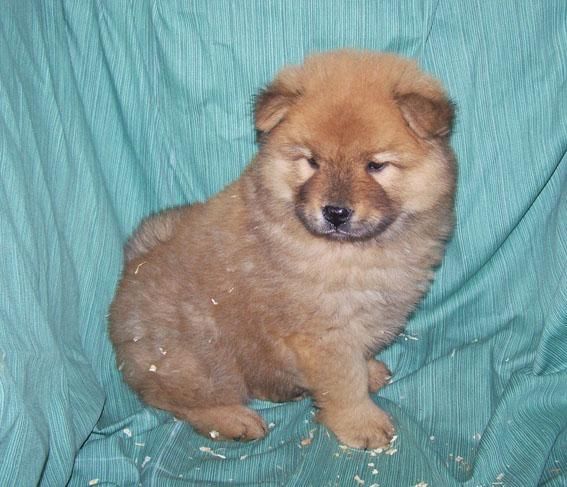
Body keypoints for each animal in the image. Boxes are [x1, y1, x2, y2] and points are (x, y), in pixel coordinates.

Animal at [110, 50, 458, 450]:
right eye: (312, 161)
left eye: (375, 165)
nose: (335, 212)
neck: (355, 251)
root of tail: (130, 271)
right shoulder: (323, 333)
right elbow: (344, 382)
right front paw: (362, 424)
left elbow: (359, 359)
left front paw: (370, 371)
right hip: (203, 359)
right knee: (176, 400)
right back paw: (234, 419)